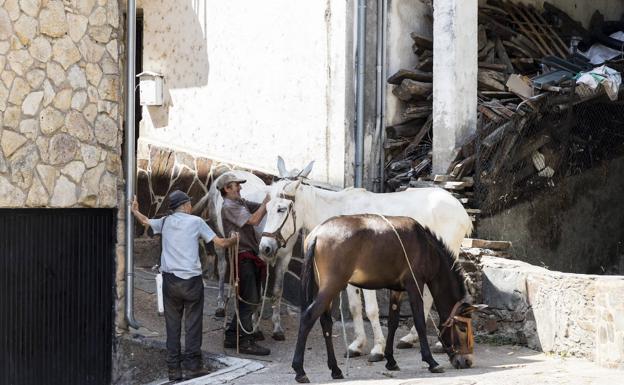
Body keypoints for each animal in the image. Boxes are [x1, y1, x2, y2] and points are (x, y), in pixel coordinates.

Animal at [260, 177, 472, 360]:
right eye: (267, 208)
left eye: (281, 209)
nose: (265, 248)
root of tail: (459, 207)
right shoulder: (348, 277)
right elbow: (355, 308)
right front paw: (357, 345)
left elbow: (370, 310)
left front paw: (377, 349)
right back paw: (410, 338)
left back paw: (437, 344)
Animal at [290, 213, 486, 380]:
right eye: (462, 328)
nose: (468, 361)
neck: (427, 248)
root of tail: (316, 234)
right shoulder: (414, 285)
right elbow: (420, 322)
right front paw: (431, 362)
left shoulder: (396, 290)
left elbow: (393, 322)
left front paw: (391, 361)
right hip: (332, 285)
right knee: (308, 317)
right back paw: (300, 370)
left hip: (324, 287)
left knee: (326, 323)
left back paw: (336, 369)